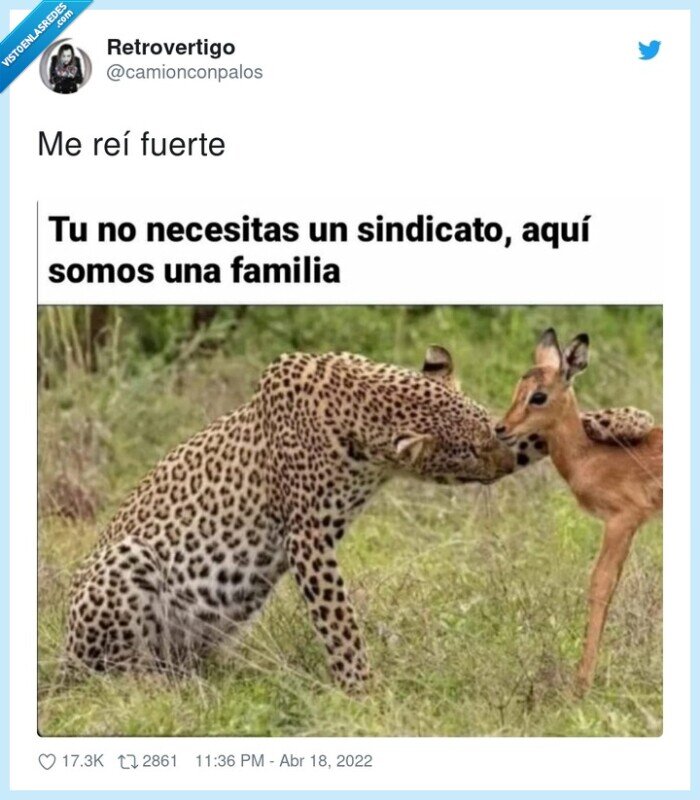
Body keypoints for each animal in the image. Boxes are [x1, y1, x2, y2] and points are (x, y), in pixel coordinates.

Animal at [63, 347, 654, 692]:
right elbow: (340, 622)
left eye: (491, 431)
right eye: (464, 453)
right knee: (112, 672)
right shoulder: (307, 538)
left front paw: (628, 418)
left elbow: (549, 429)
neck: (355, 406)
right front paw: (365, 691)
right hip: (126, 563)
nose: (504, 462)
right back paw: (154, 686)